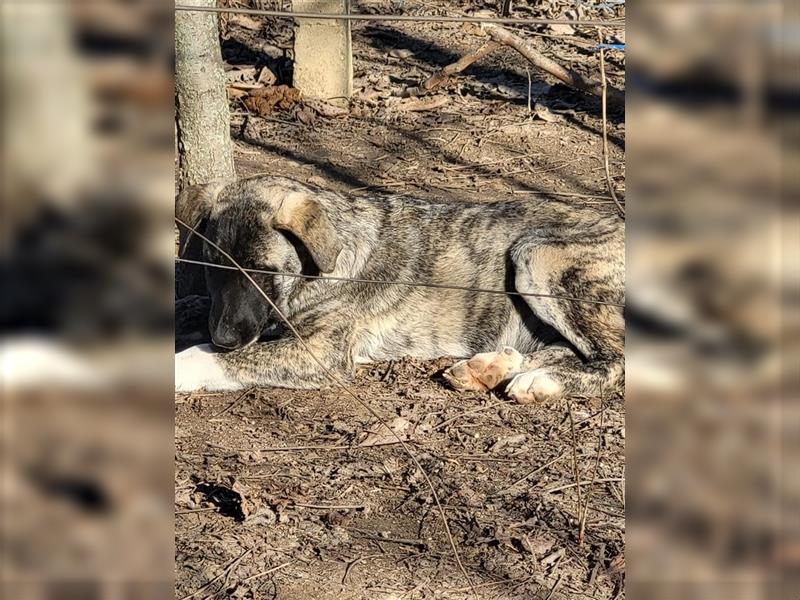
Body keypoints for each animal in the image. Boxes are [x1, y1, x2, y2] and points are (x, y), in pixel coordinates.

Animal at [175, 175, 624, 404]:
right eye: (211, 266)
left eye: (261, 271)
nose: (225, 337)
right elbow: (192, 304)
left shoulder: (322, 352)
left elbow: (217, 357)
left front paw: (185, 363)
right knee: (567, 350)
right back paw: (491, 367)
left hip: (537, 254)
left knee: (613, 359)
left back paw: (540, 382)